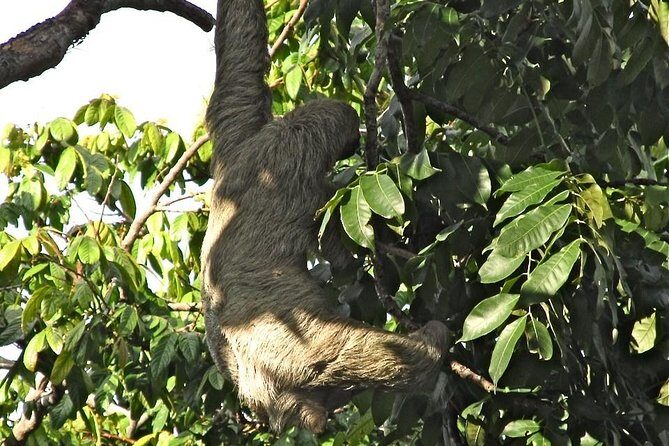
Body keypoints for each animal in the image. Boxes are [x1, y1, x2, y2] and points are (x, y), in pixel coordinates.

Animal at [201, 0, 450, 433]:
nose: (353, 142)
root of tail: (261, 394)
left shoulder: (237, 142)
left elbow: (239, 66)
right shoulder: (297, 179)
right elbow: (337, 247)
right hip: (283, 343)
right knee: (349, 352)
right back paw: (431, 343)